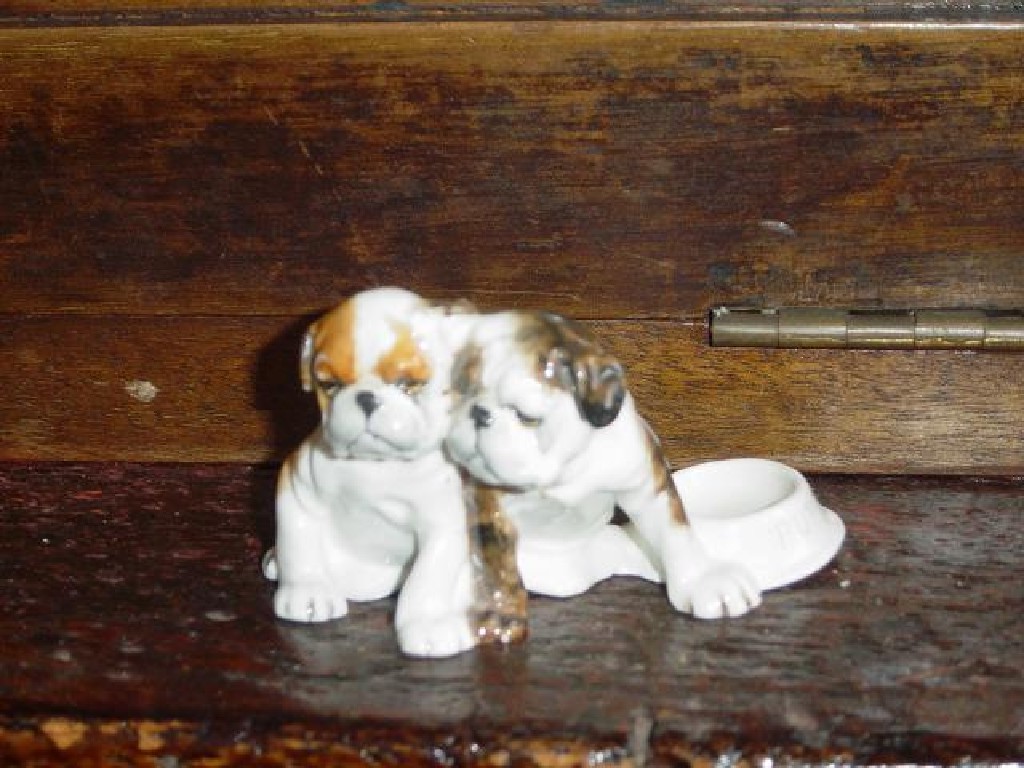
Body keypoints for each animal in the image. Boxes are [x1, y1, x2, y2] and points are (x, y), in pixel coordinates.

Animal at [268, 286, 483, 659]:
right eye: (329, 385)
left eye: (408, 384)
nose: (366, 397)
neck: (376, 464)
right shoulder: (297, 487)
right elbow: (298, 540)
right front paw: (307, 591)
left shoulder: (443, 525)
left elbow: (429, 575)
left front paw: (429, 623)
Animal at [444, 313, 765, 618]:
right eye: (456, 391)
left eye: (525, 415)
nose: (478, 411)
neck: (560, 469)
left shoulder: (642, 474)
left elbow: (673, 527)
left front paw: (703, 579)